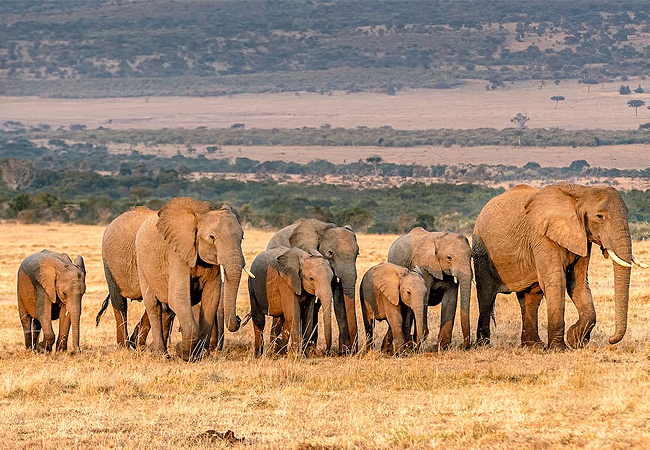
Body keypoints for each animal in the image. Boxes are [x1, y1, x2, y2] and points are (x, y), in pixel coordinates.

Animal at [135, 197, 248, 361]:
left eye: (242, 237)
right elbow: (178, 297)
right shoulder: (177, 254)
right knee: (152, 305)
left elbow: (211, 299)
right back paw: (161, 355)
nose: (239, 319)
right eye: (212, 238)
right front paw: (183, 351)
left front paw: (202, 355)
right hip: (142, 264)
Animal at [473, 183, 647, 350]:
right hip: (481, 251)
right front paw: (560, 348)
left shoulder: (582, 236)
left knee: (530, 298)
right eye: (599, 216)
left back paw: (533, 346)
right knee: (486, 297)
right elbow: (556, 282)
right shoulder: (542, 236)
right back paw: (484, 345)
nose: (611, 340)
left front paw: (576, 340)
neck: (580, 191)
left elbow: (578, 284)